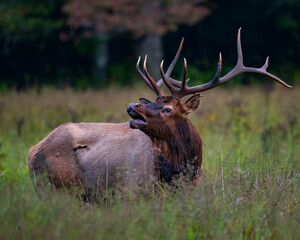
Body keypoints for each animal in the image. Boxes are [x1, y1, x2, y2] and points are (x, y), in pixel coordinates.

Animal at [27, 29, 290, 200]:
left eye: (167, 109)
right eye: (153, 101)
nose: (133, 105)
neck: (176, 173)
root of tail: (32, 152)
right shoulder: (131, 191)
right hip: (56, 189)